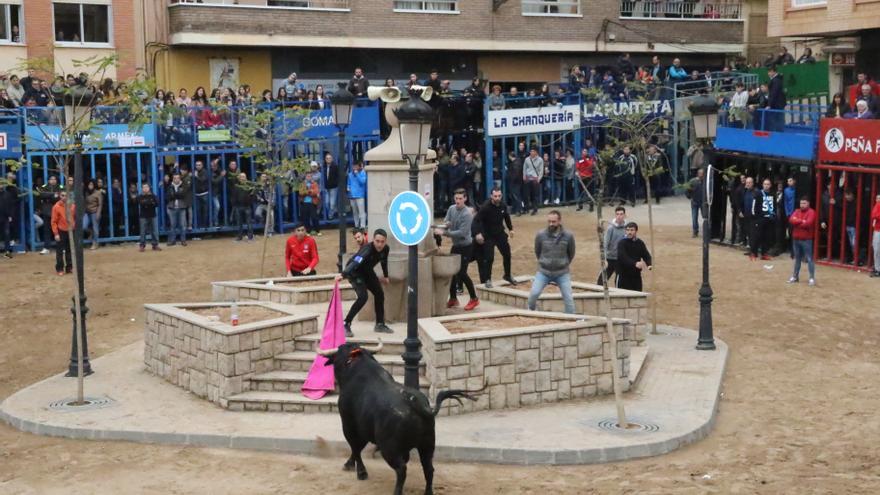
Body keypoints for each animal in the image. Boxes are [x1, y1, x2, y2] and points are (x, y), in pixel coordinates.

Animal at [318, 342, 474, 494]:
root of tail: (417, 406)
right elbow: (358, 447)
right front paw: (351, 464)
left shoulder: (349, 424)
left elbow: (355, 447)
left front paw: (360, 472)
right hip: (427, 445)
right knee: (429, 469)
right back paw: (428, 492)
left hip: (390, 449)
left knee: (402, 470)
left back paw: (397, 491)